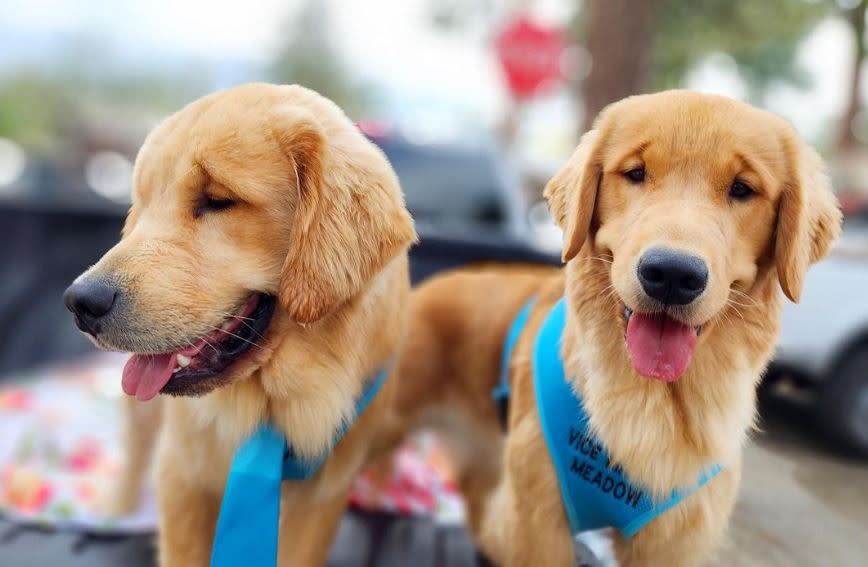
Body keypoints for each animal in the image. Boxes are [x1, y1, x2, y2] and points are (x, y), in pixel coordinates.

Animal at [64, 84, 418, 567]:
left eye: (218, 201)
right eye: (142, 206)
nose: (80, 302)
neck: (272, 399)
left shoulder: (321, 497)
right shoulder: (183, 473)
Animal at [382, 91, 840, 564]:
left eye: (742, 189)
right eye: (635, 173)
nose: (672, 274)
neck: (650, 399)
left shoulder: (674, 542)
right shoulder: (538, 523)